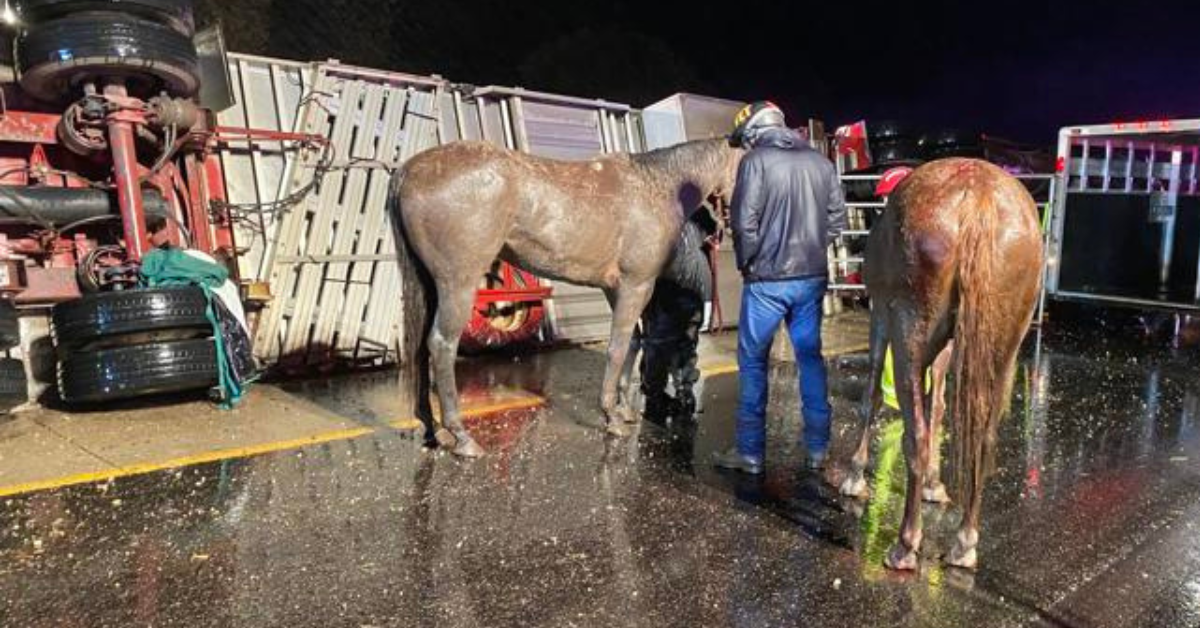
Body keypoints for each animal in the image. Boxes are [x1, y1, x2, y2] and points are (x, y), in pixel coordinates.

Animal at [390, 139, 743, 457]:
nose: (728, 228)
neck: (655, 185)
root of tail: (408, 170)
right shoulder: (636, 286)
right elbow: (617, 349)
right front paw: (612, 417)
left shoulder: (615, 289)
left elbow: (632, 343)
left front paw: (624, 410)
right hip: (458, 285)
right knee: (441, 345)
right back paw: (462, 437)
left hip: (430, 286)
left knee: (420, 348)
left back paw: (432, 431)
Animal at [837, 158, 1043, 570]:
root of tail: (979, 202)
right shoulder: (947, 343)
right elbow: (939, 406)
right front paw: (935, 483)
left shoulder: (880, 314)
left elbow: (872, 396)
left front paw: (854, 474)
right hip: (1003, 345)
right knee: (984, 437)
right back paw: (964, 541)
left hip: (910, 332)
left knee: (914, 435)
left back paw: (905, 544)